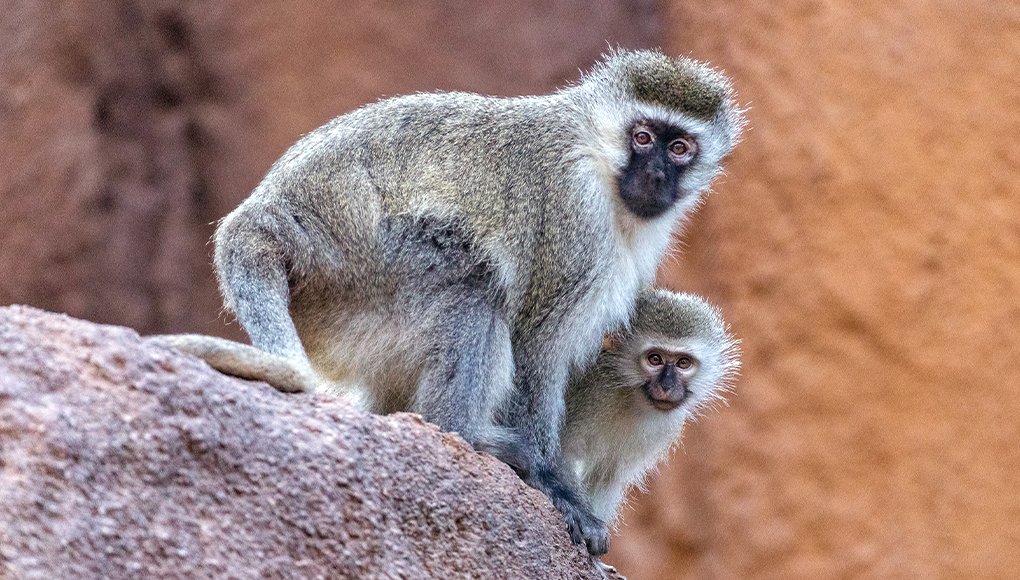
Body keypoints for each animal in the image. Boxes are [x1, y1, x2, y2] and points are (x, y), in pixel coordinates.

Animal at [563, 287, 738, 521]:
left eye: (683, 363)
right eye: (655, 359)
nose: (667, 385)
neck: (629, 397)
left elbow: (606, 477)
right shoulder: (595, 392)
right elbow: (562, 450)